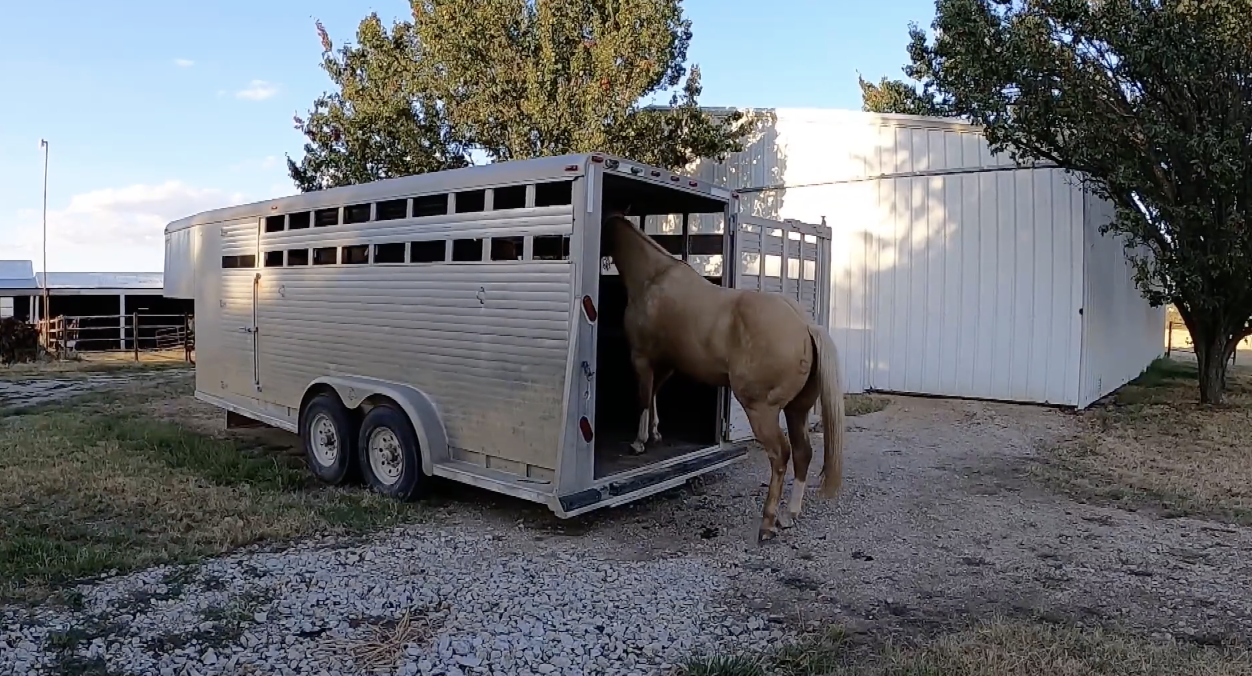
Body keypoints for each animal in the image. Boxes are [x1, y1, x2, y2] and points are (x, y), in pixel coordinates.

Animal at [601, 211, 847, 544]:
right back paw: (788, 515)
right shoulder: (666, 363)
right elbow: (652, 395)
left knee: (780, 455)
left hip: (762, 411)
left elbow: (642, 398)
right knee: (802, 453)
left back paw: (767, 522)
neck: (655, 278)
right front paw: (655, 433)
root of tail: (805, 326)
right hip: (797, 410)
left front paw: (639, 442)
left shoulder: (641, 358)